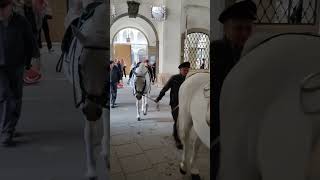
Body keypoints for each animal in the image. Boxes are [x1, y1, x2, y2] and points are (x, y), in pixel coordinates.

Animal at [60, 0, 109, 179]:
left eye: (108, 67)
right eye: (80, 65)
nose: (91, 112)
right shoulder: (85, 97)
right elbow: (88, 132)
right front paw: (91, 170)